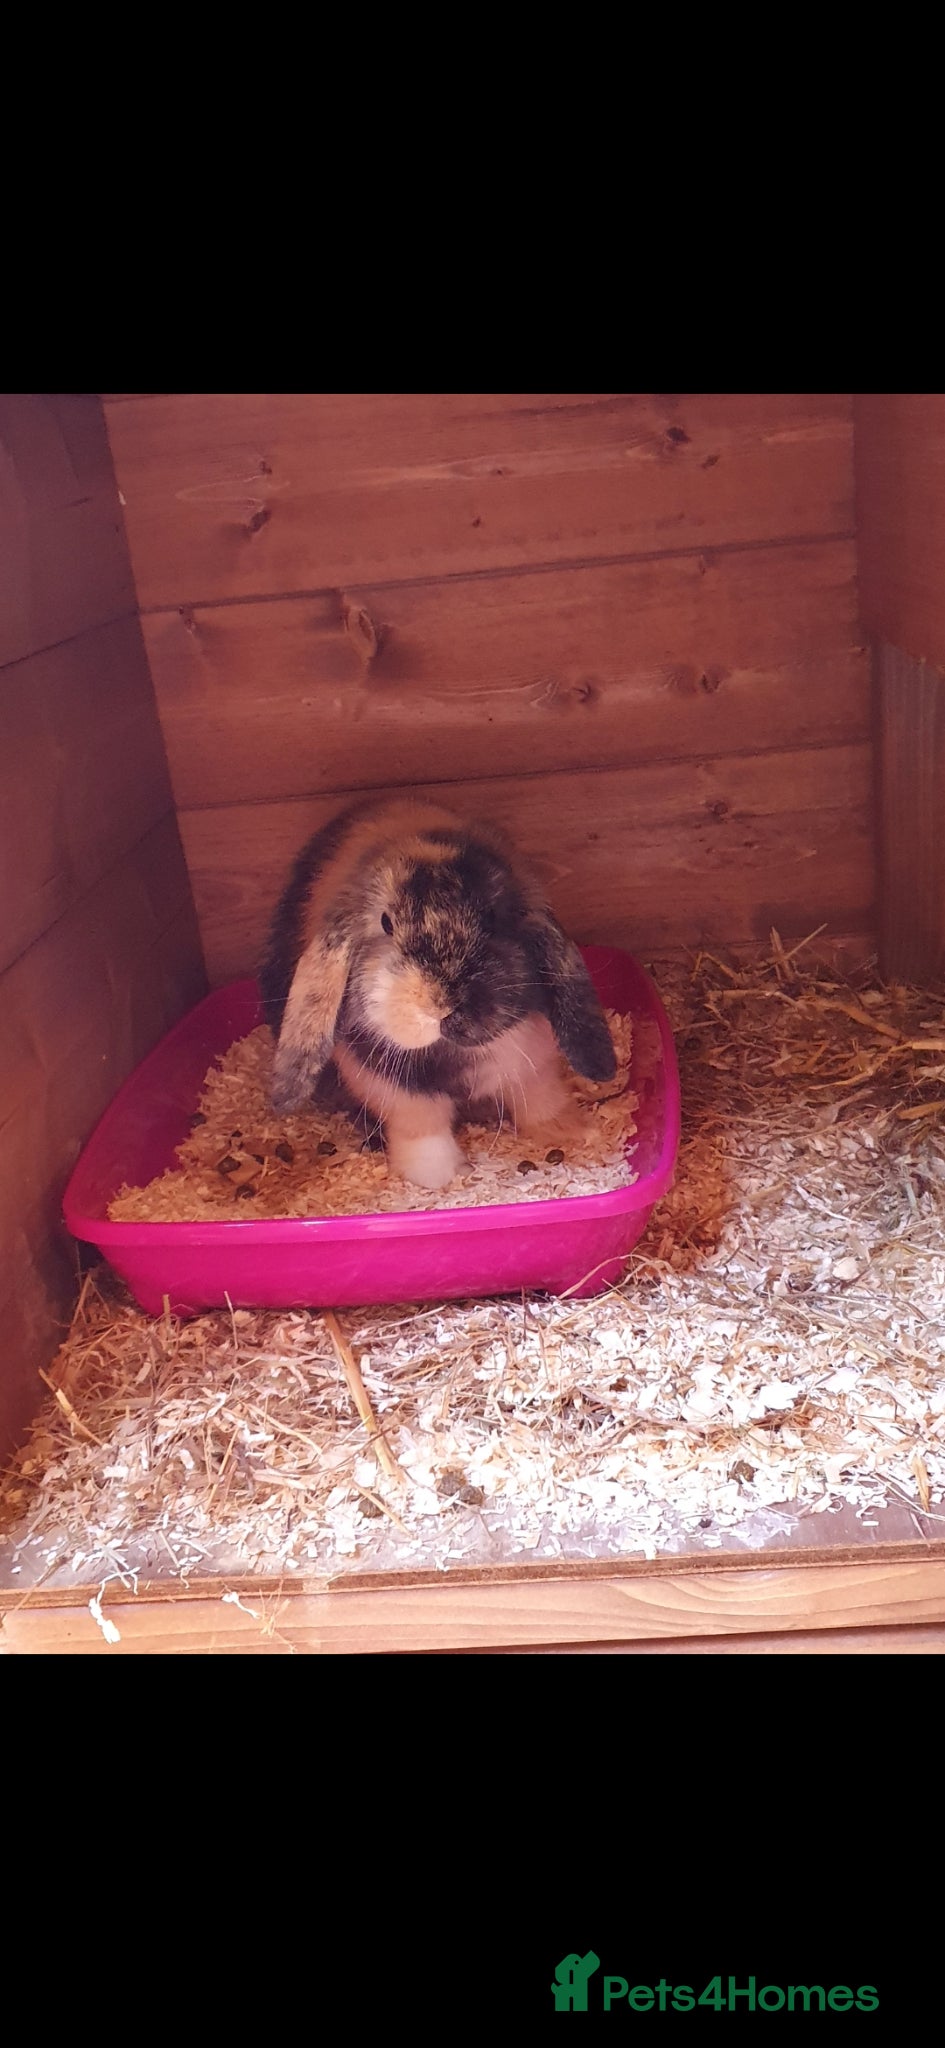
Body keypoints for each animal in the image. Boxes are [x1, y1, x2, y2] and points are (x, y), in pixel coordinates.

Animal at [258, 796, 617, 1191]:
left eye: (491, 919)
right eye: (386, 923)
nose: (440, 1007)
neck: (450, 1052)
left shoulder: (533, 1064)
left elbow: (542, 1100)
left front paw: (575, 1133)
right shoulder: (395, 1091)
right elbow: (423, 1129)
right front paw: (440, 1178)